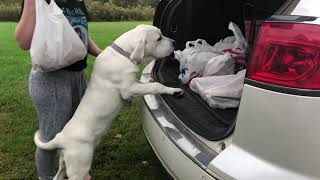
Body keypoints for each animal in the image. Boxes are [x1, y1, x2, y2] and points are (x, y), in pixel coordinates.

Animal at [33, 24, 184, 180]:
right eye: (159, 38)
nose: (174, 42)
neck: (123, 54)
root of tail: (60, 138)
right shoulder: (128, 88)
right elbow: (155, 86)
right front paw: (174, 90)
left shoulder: (134, 83)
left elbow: (147, 84)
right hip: (79, 166)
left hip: (65, 162)